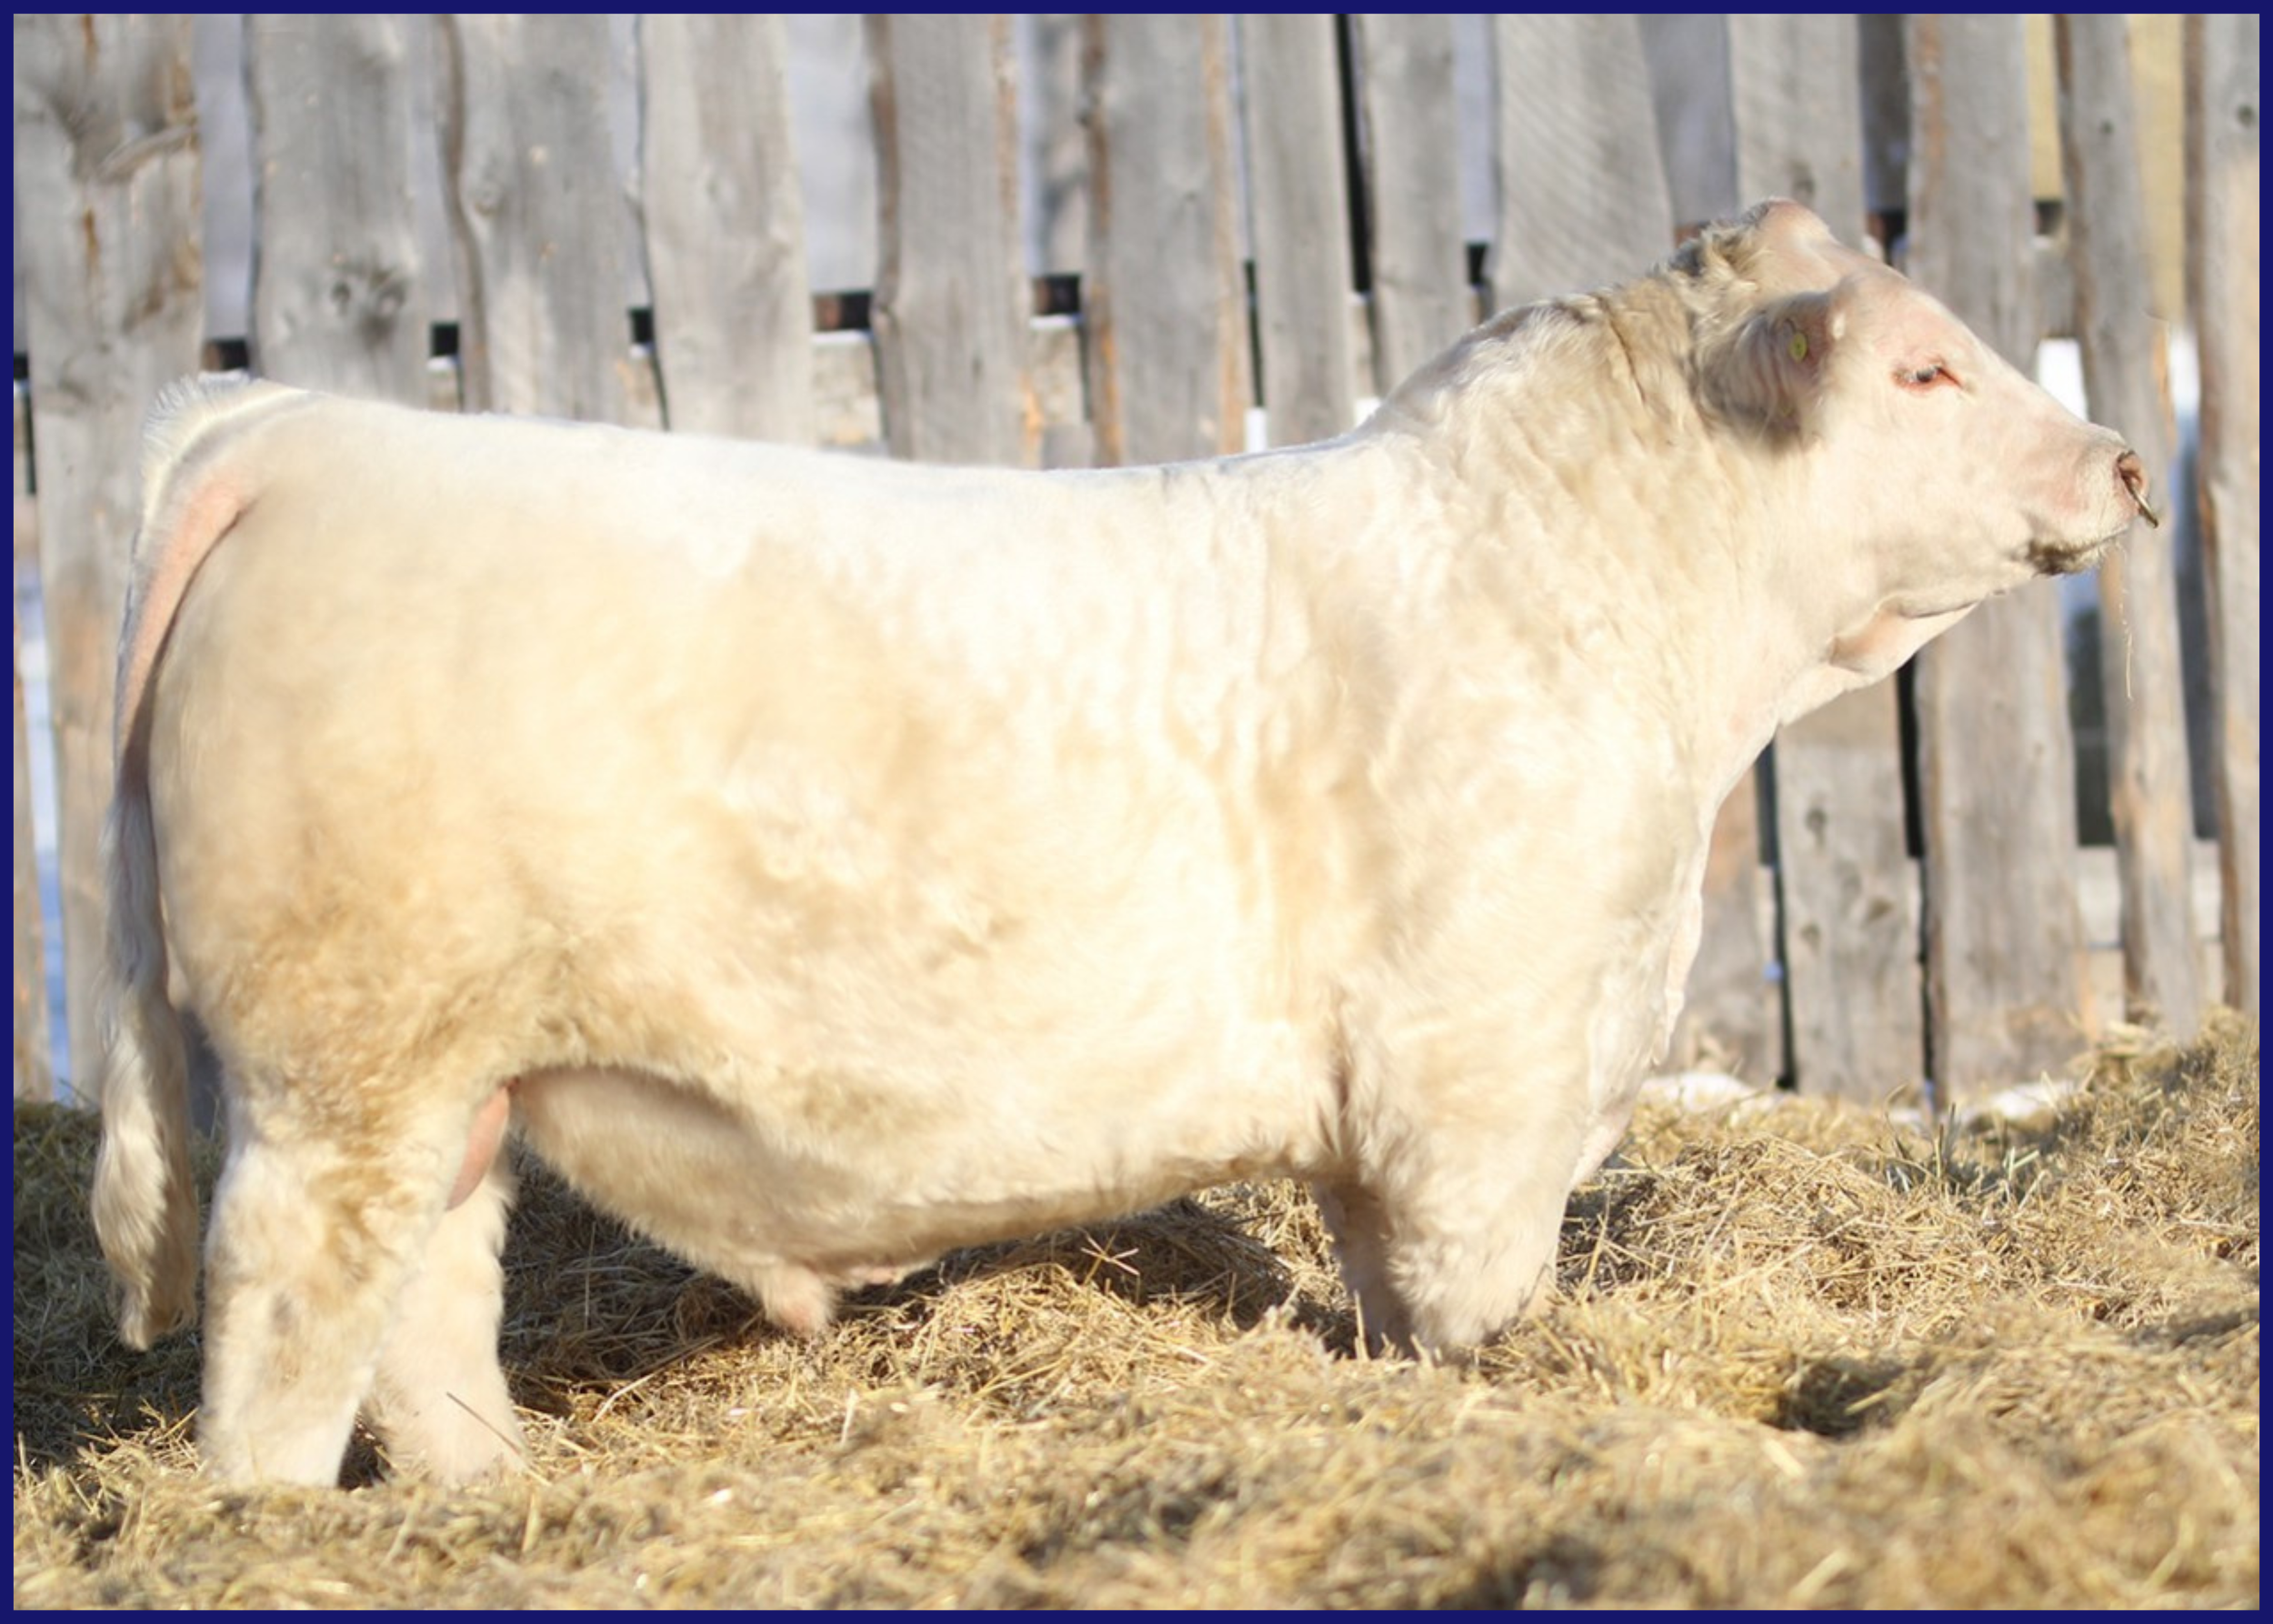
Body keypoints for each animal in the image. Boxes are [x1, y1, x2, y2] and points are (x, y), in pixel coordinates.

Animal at [90, 200, 2156, 1485]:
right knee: (285, 1329)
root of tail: (293, 429)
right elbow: (1474, 1302)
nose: (2130, 462)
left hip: (455, 1089)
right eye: (1922, 372)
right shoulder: (1476, 1079)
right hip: (340, 1075)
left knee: (430, 1320)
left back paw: (494, 1497)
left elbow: (1386, 1300)